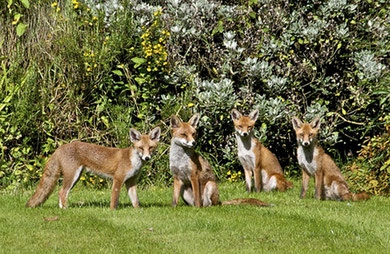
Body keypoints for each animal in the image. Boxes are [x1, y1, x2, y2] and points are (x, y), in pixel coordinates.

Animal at [25, 128, 161, 209]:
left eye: (151, 148)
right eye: (141, 148)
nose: (147, 158)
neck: (133, 161)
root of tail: (61, 147)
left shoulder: (131, 182)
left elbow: (135, 200)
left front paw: (138, 211)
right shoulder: (118, 179)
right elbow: (114, 199)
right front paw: (112, 212)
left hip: (76, 177)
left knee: (60, 192)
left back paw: (62, 209)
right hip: (72, 176)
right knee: (62, 192)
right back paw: (66, 209)